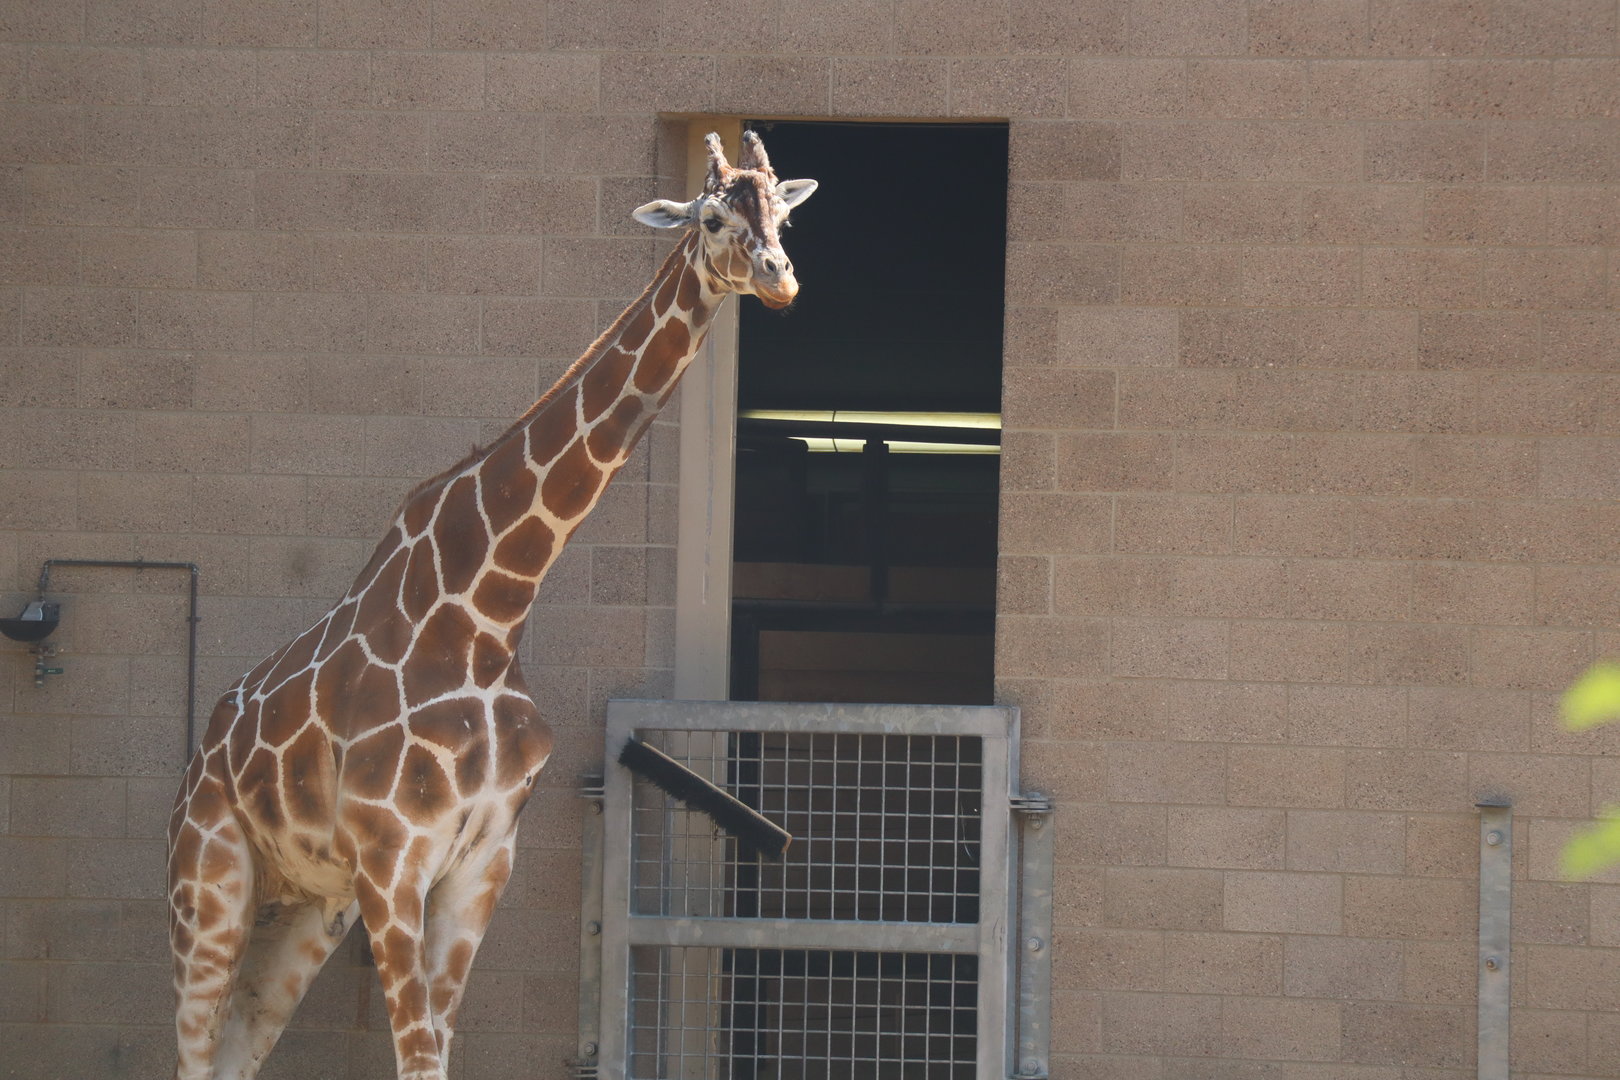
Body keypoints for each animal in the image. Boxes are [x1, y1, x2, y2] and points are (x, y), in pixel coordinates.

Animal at [167, 131, 816, 1080]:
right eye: (709, 217)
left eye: (782, 213)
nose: (778, 278)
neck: (486, 614)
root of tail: (197, 761)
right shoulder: (392, 860)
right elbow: (417, 1058)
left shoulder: (480, 864)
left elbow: (438, 1050)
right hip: (209, 880)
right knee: (192, 1046)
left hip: (308, 905)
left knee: (236, 1051)